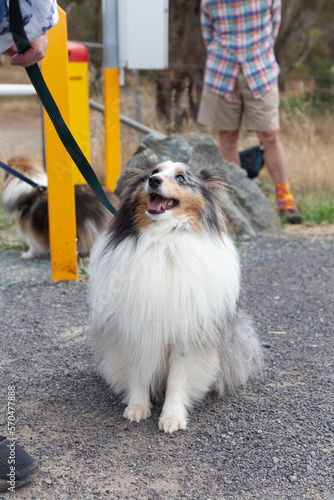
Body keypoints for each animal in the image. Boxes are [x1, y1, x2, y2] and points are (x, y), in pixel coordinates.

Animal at [88, 158, 264, 432]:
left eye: (181, 178)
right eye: (153, 172)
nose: (154, 181)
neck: (162, 238)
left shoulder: (187, 333)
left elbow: (178, 380)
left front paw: (172, 417)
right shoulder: (135, 327)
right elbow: (139, 372)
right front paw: (137, 407)